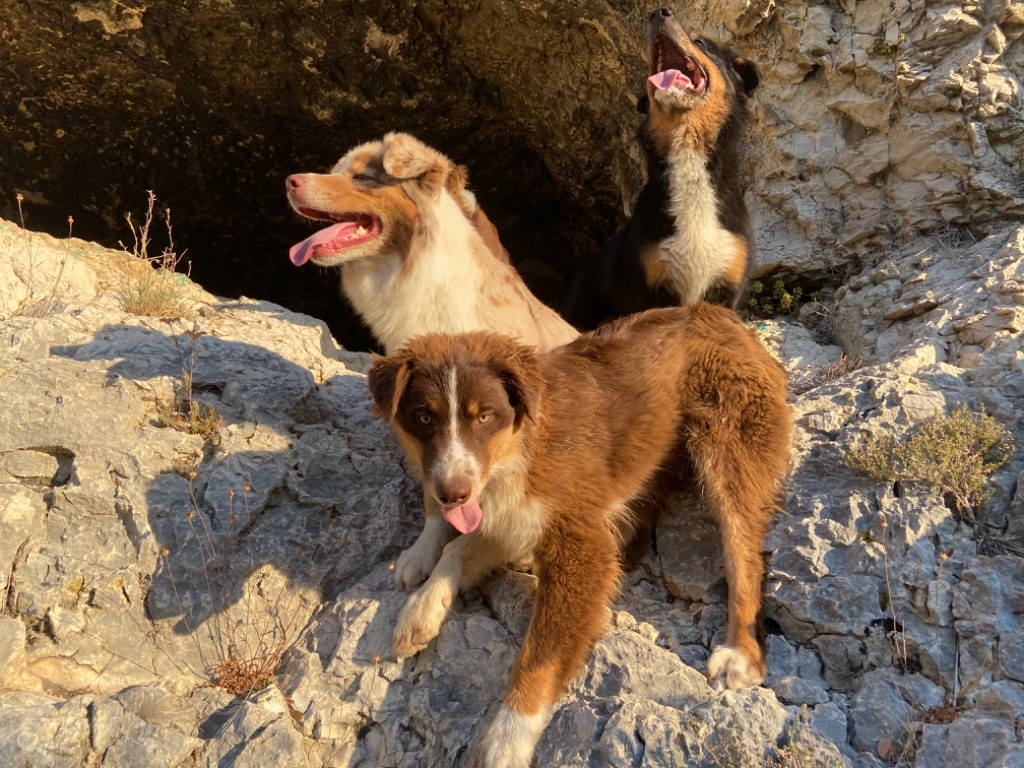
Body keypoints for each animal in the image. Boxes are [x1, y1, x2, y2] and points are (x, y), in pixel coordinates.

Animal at [368, 307, 790, 768]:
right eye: (425, 417)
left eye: (485, 416)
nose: (453, 493)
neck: (519, 448)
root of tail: (721, 313)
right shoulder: (510, 518)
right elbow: (459, 547)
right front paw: (421, 607)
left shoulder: (579, 545)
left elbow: (539, 656)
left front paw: (508, 735)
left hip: (726, 442)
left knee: (743, 554)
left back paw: (741, 652)